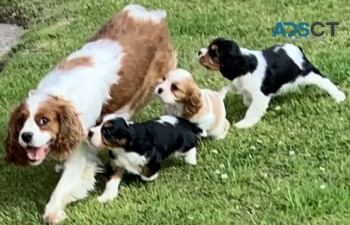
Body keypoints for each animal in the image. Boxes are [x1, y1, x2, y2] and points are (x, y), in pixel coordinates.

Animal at [4, 4, 176, 224]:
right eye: (21, 122)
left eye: (44, 121)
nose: (25, 136)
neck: (61, 96)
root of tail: (148, 13)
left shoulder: (81, 146)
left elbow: (65, 183)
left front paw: (53, 211)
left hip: (149, 86)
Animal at [198, 37, 346, 128]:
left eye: (214, 54)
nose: (199, 52)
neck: (244, 63)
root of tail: (297, 48)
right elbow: (247, 99)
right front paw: (247, 103)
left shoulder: (260, 95)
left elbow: (252, 110)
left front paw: (244, 124)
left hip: (308, 73)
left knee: (325, 82)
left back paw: (339, 96)